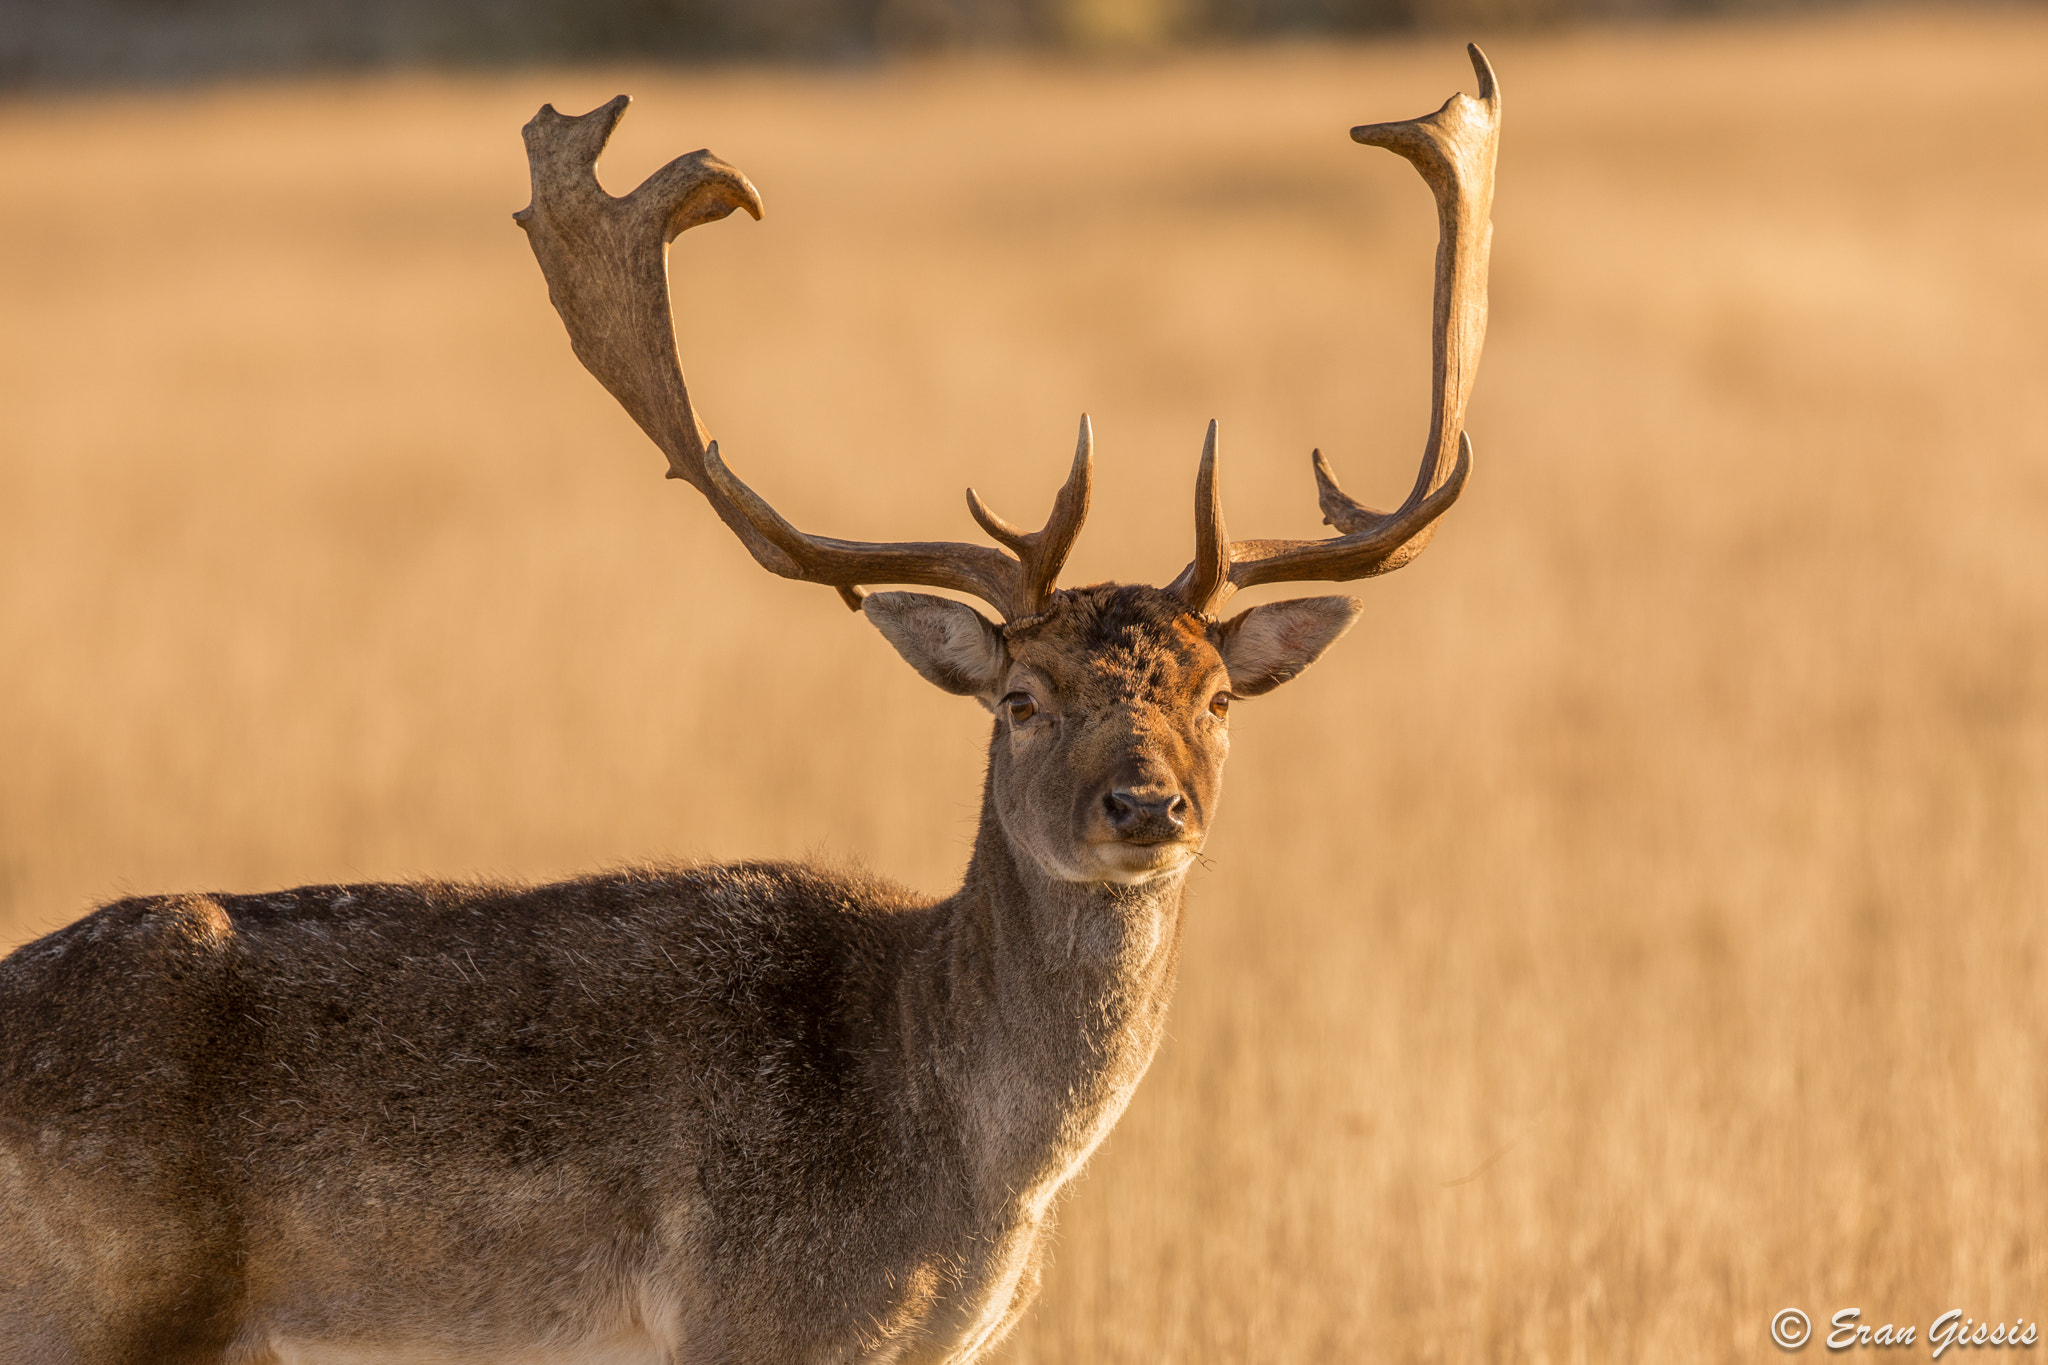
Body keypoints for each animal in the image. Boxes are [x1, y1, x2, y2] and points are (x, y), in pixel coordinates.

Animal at [4, 48, 1507, 1365]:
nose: (1147, 804)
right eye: (1021, 695)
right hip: (98, 1310)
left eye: (1218, 693)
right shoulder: (758, 1312)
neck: (967, 1179)